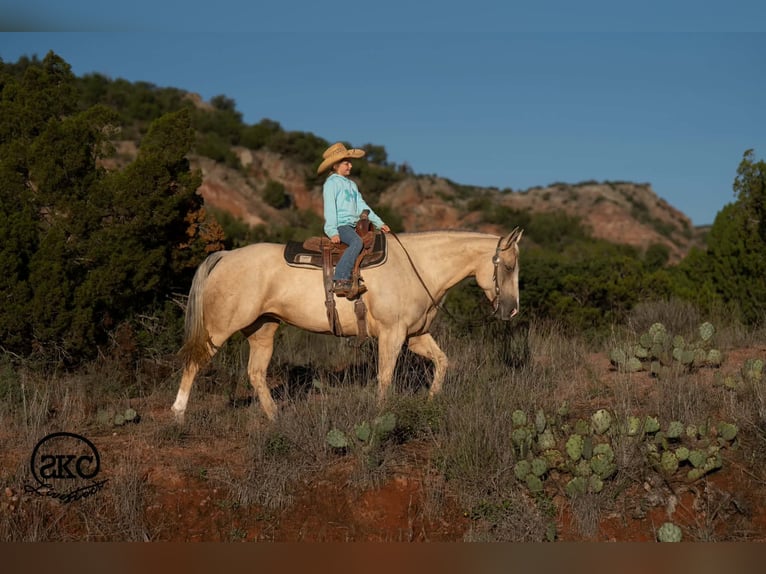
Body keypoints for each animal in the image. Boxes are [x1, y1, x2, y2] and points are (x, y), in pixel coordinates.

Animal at [172, 228, 523, 422]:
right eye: (507, 266)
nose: (512, 310)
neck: (418, 267)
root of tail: (225, 256)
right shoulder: (392, 334)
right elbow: (385, 376)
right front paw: (381, 414)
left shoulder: (416, 335)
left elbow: (442, 361)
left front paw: (431, 401)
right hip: (219, 329)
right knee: (194, 363)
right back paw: (178, 415)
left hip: (263, 329)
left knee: (256, 373)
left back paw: (275, 417)